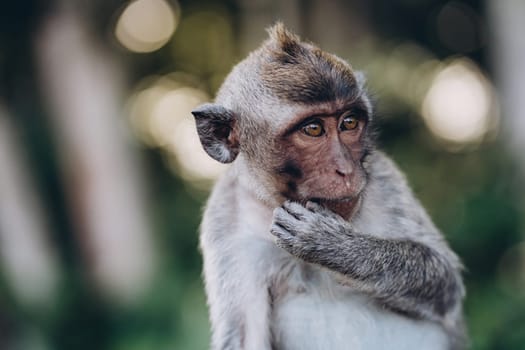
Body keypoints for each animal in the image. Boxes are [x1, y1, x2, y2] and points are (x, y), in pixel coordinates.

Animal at [190, 23, 464, 350]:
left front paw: (331, 244)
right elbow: (244, 337)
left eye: (349, 123)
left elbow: (445, 281)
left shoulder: (383, 178)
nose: (346, 169)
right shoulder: (226, 218)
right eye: (313, 129)